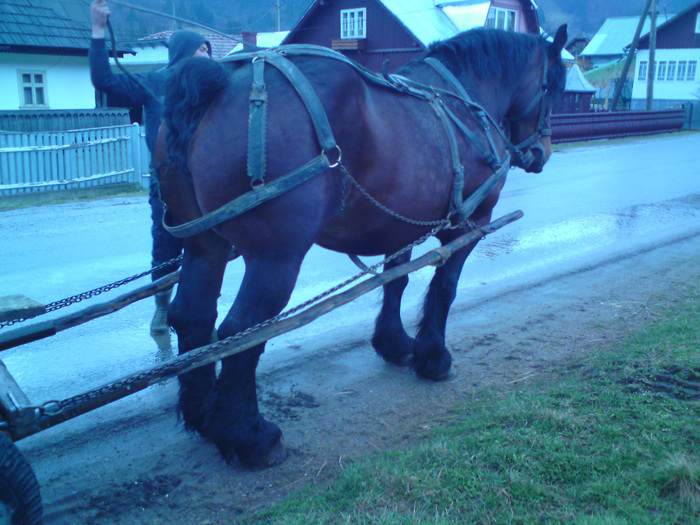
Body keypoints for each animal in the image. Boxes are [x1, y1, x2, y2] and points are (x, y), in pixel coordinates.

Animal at [154, 25, 568, 466]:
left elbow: (396, 281)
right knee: (240, 331)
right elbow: (444, 288)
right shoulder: (468, 225)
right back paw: (249, 437)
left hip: (204, 246)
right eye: (555, 86)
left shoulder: (402, 225)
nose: (541, 153)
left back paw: (203, 416)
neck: (463, 98)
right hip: (276, 258)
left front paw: (394, 343)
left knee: (192, 317)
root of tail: (219, 79)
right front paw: (433, 357)